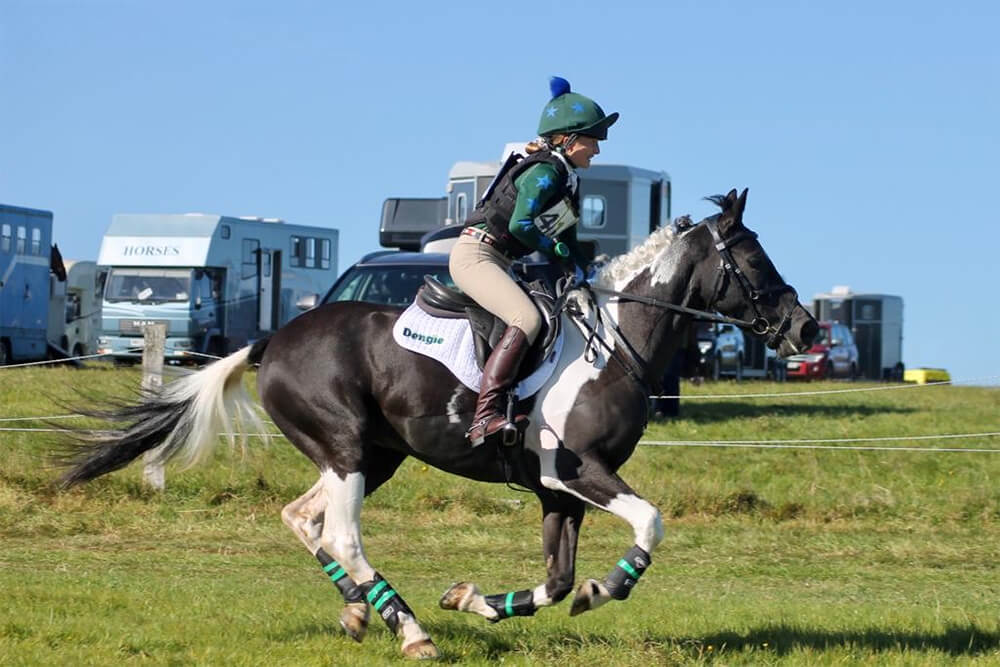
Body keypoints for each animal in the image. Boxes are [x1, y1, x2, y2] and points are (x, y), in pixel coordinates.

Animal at [58, 189, 816, 664]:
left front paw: (478, 599)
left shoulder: (556, 491)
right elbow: (649, 524)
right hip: (345, 447)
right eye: (753, 260)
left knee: (302, 517)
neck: (612, 345)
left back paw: (361, 609)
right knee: (340, 532)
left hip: (370, 454)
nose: (805, 329)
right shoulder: (577, 471)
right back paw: (410, 630)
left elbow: (556, 579)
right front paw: (611, 587)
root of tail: (272, 340)